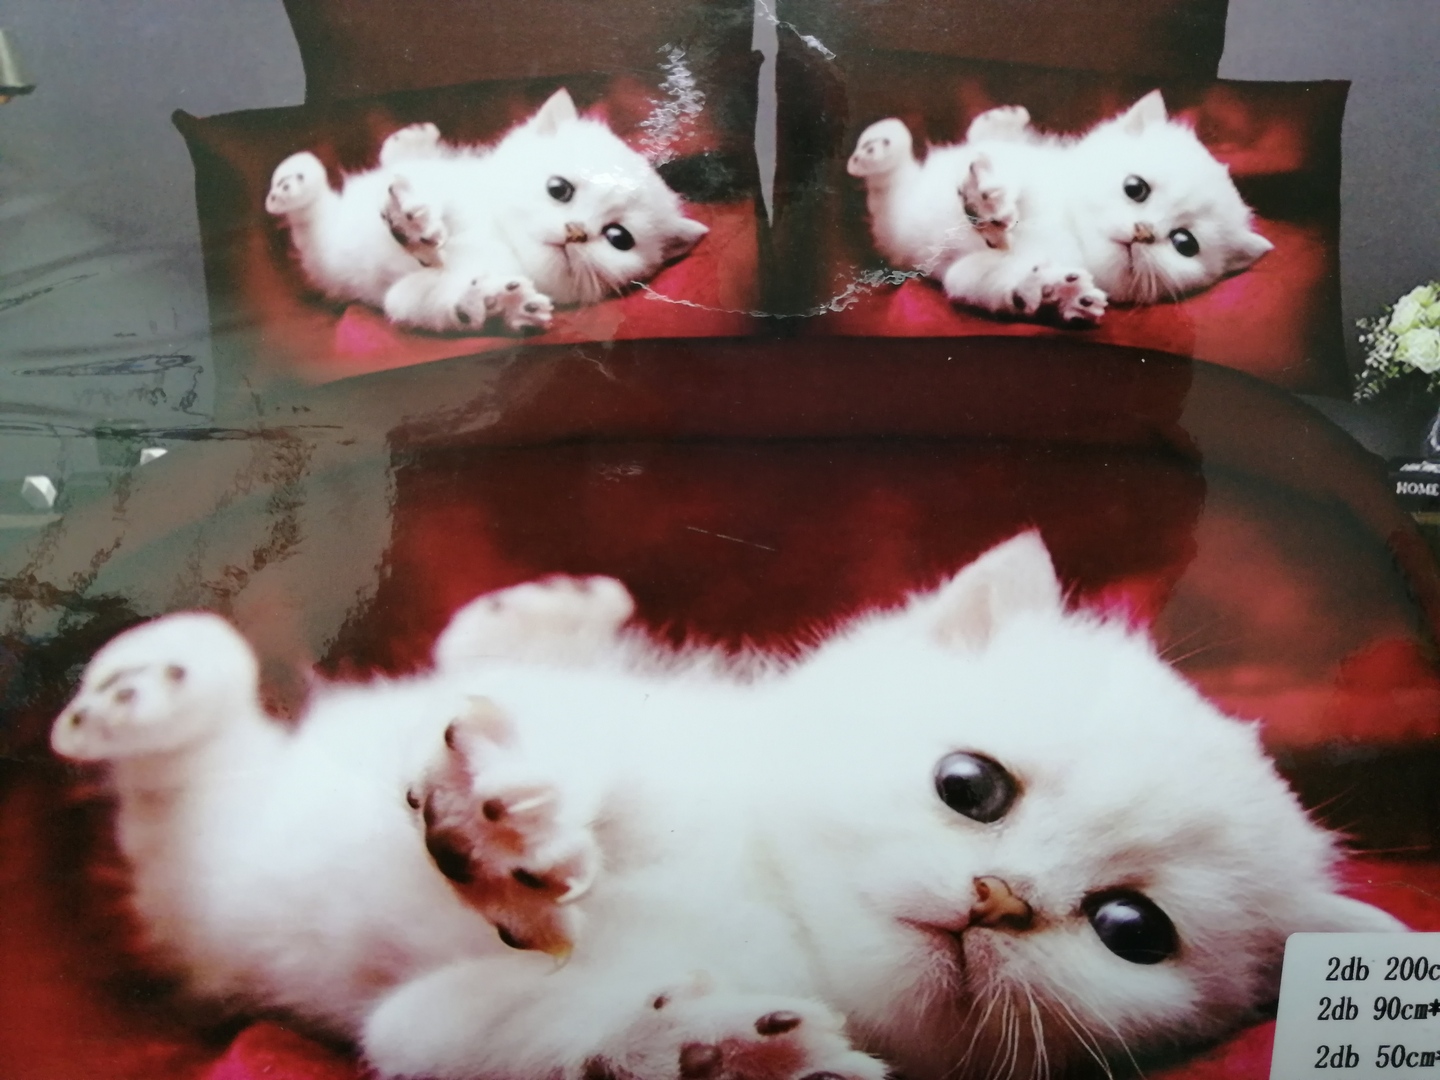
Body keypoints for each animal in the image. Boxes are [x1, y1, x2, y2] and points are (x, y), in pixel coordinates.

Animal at [51, 533, 1401, 1080]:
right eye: (971, 787)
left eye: (1131, 931)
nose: (999, 897)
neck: (777, 913)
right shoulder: (680, 749)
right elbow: (604, 768)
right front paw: (509, 825)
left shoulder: (423, 1026)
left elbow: (489, 1031)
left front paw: (699, 1047)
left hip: (216, 881)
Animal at [263, 88, 710, 335]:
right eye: (559, 189)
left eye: (619, 238)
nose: (575, 230)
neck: (502, 239)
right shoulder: (459, 186)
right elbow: (439, 197)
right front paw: (414, 220)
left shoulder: (409, 293)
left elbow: (420, 301)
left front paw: (494, 306)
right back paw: (298, 179)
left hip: (329, 257)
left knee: (310, 228)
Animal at [847, 91, 1274, 326]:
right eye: (1135, 188)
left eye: (1185, 244)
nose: (1144, 231)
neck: (1070, 232)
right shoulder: (1035, 171)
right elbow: (1015, 178)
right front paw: (988, 198)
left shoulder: (966, 272)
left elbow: (985, 279)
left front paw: (1053, 293)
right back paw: (881, 144)